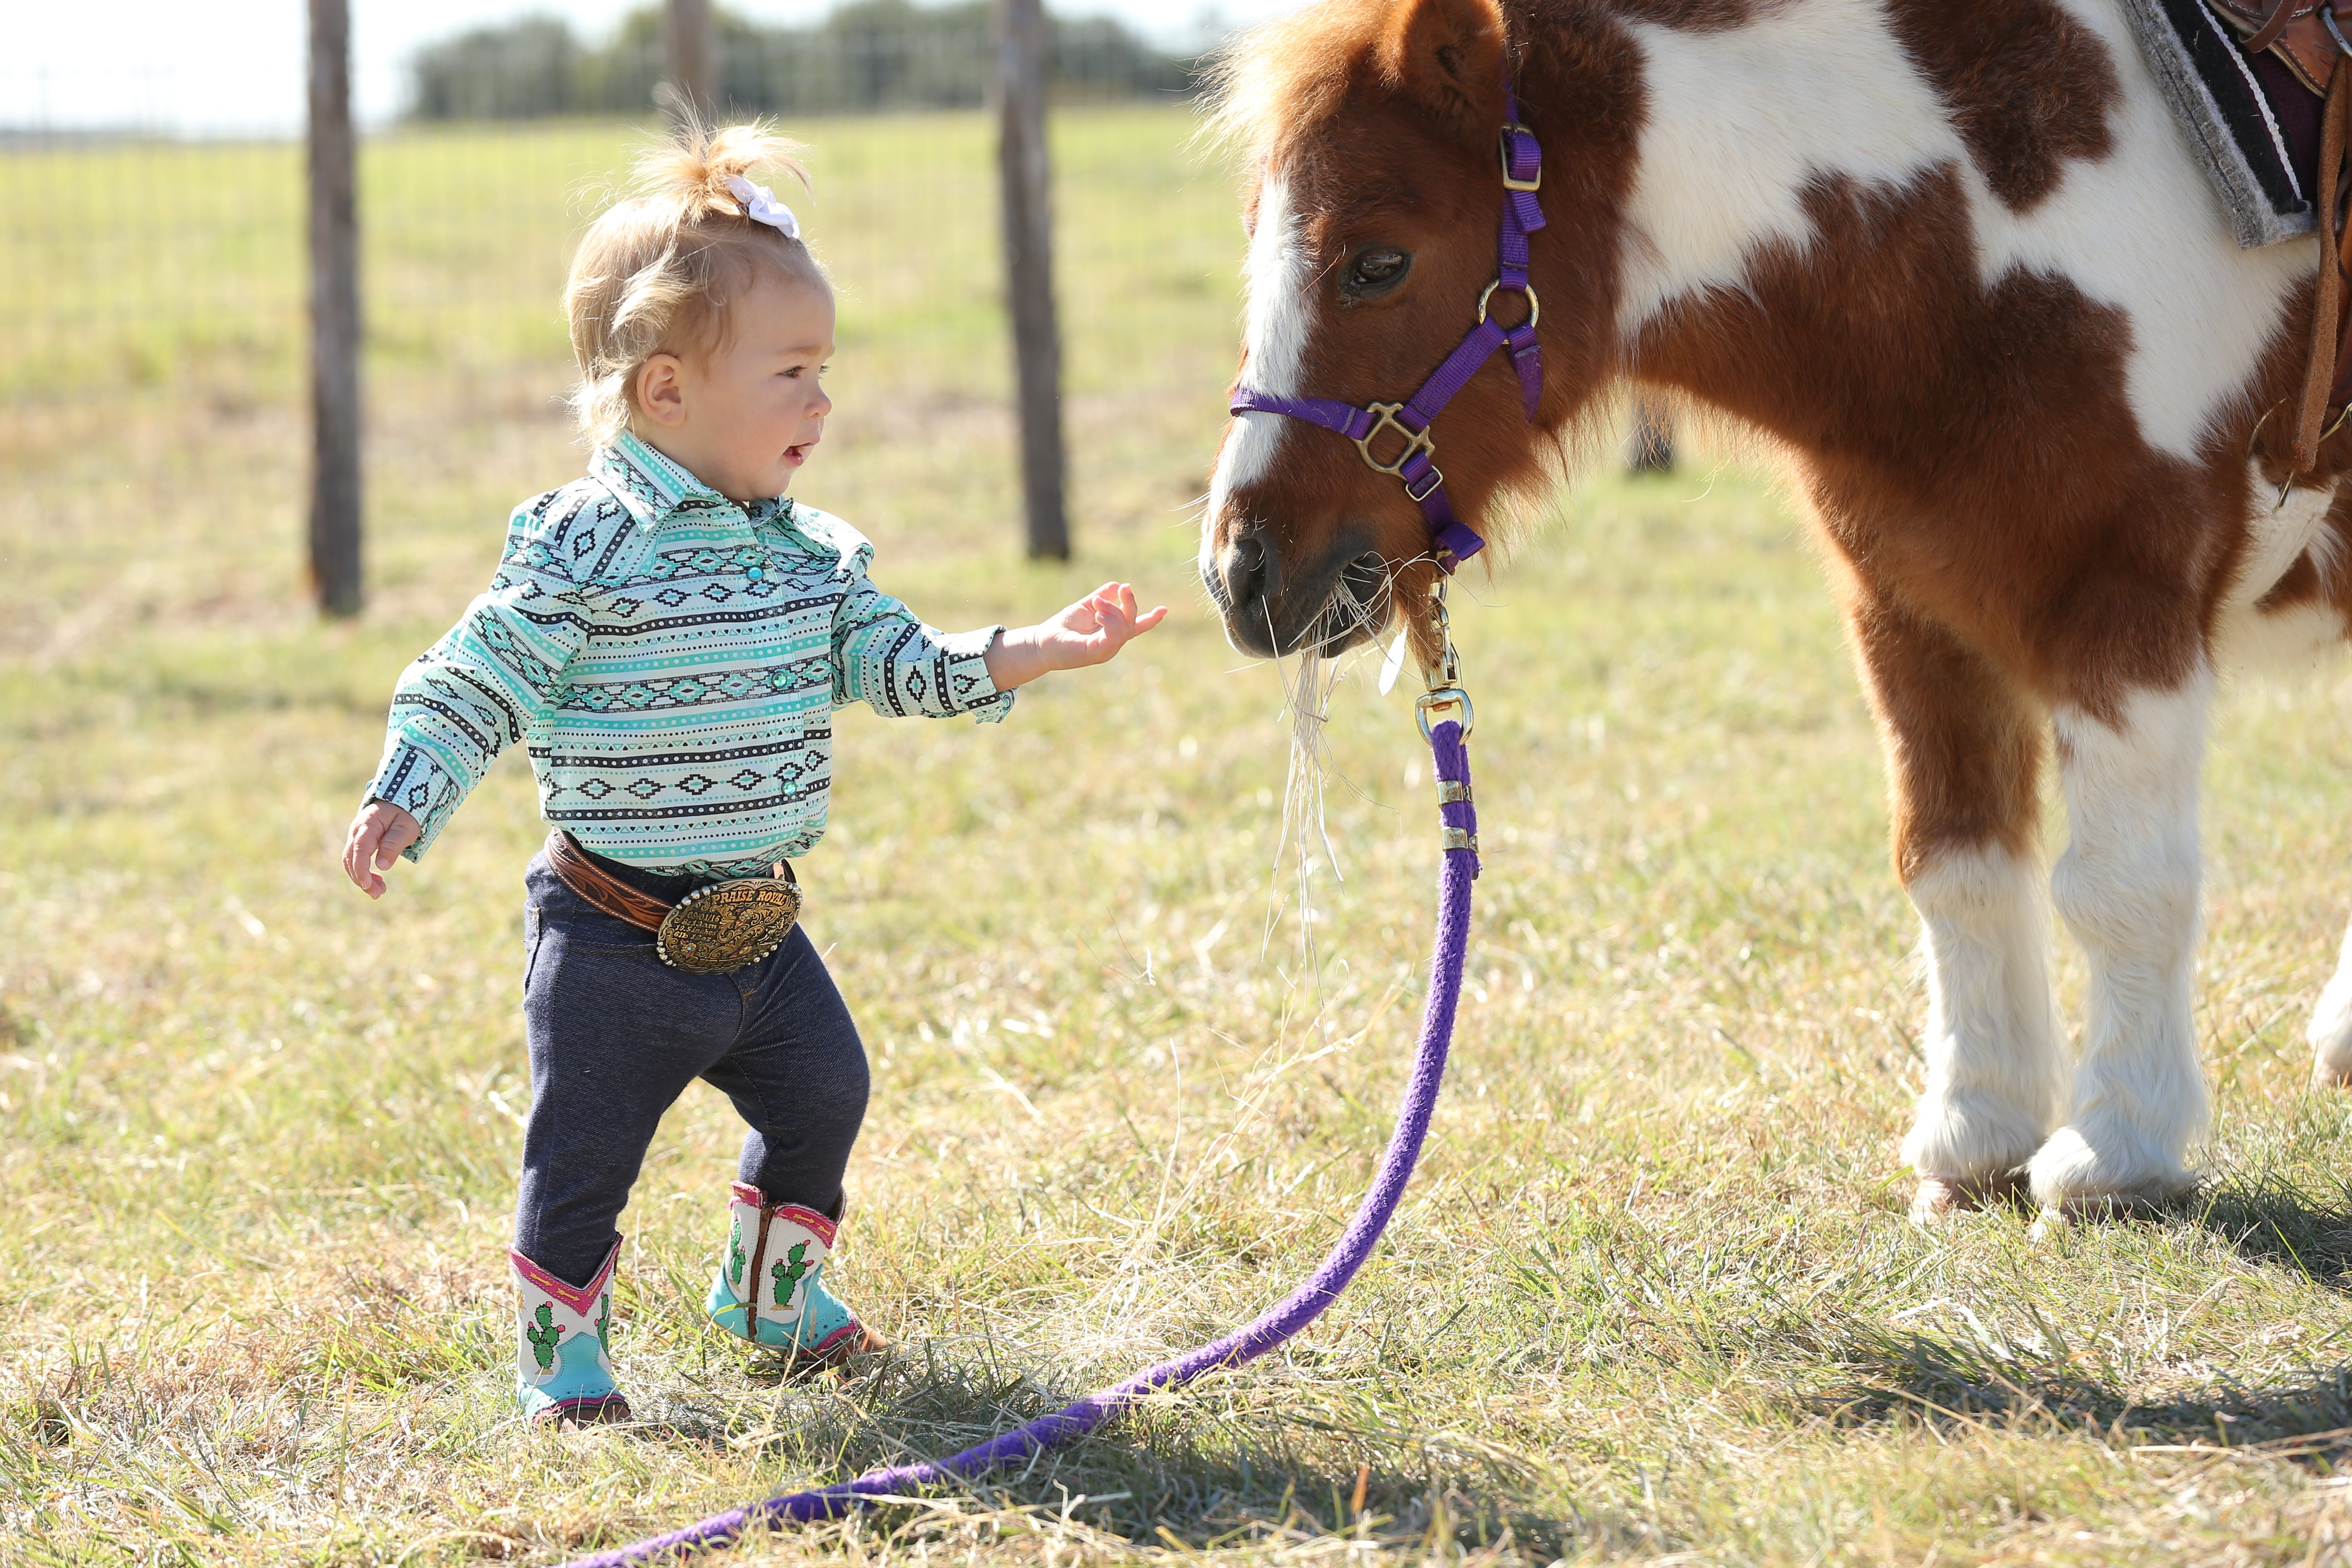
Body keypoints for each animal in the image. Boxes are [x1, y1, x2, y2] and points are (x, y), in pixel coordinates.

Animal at [1199, 0, 2352, 1221]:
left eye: (1377, 262)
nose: (1241, 571)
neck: (1975, 234)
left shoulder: (2121, 600)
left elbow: (2120, 886)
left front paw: (2116, 1148)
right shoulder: (1910, 612)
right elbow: (1954, 865)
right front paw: (1974, 1135)